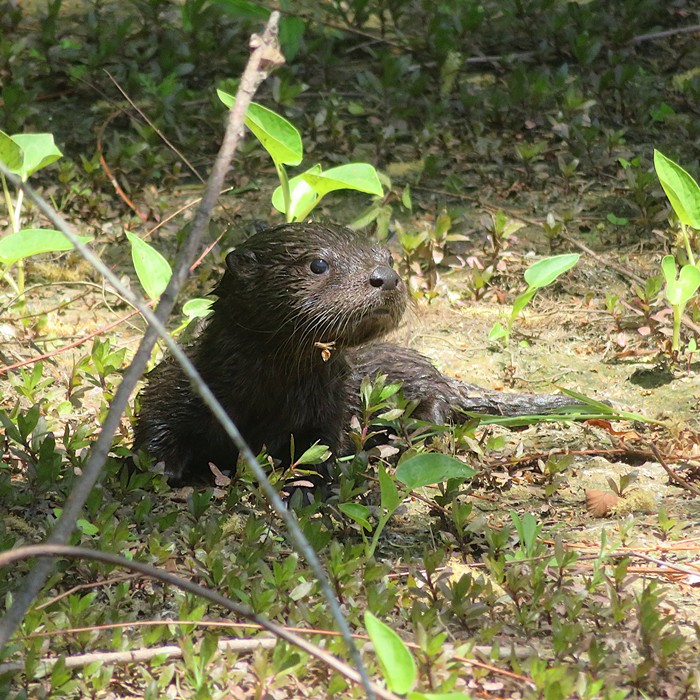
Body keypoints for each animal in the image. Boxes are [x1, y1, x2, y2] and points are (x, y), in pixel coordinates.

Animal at [133, 222, 578, 483]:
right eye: (318, 263)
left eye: (390, 258)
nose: (386, 277)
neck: (264, 398)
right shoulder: (176, 381)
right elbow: (155, 424)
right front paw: (155, 470)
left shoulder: (331, 408)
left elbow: (324, 451)